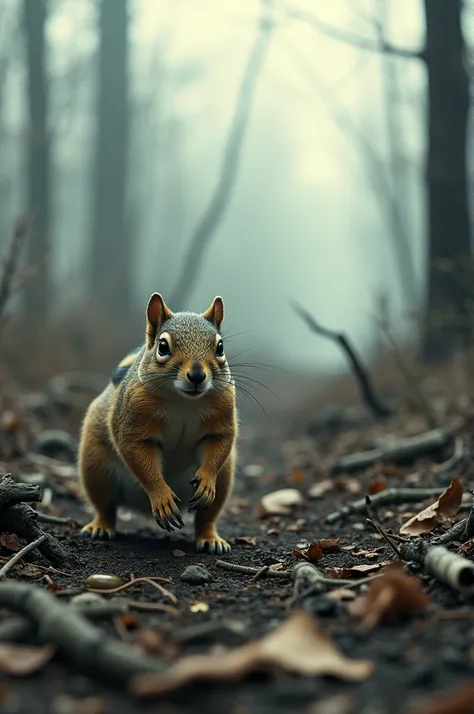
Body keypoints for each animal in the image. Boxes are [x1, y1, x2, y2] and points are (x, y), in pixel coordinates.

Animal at [79, 292, 239, 552]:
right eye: (163, 347)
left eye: (220, 347)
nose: (197, 376)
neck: (184, 402)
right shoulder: (132, 423)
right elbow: (140, 459)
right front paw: (161, 495)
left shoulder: (222, 416)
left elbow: (220, 444)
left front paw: (206, 480)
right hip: (95, 467)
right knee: (105, 507)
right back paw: (100, 527)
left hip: (224, 480)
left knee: (206, 517)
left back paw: (210, 539)